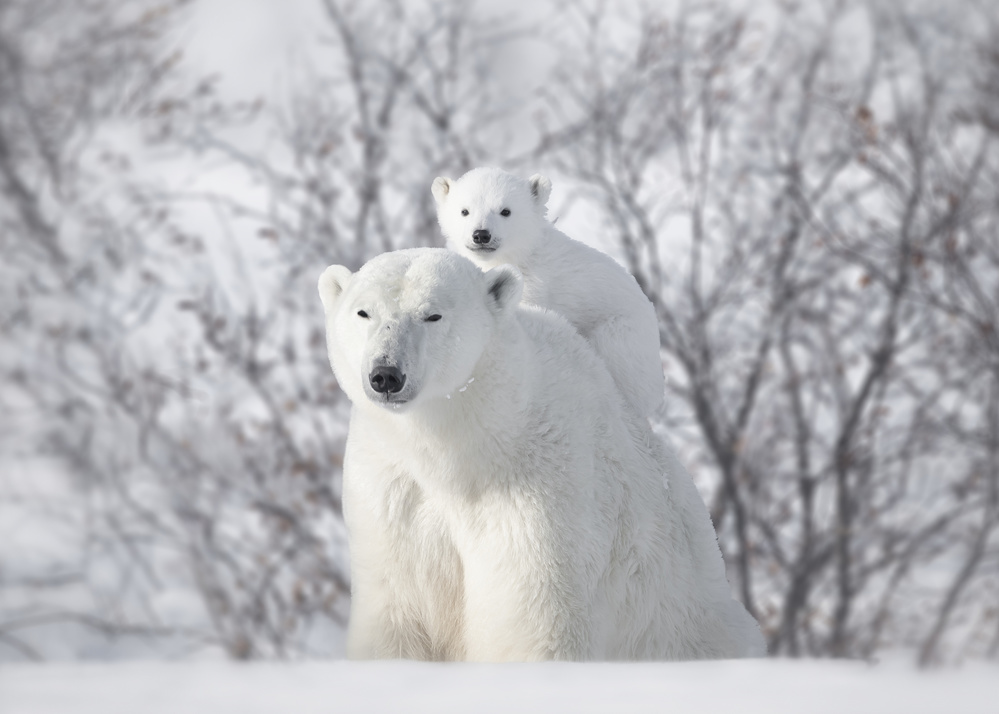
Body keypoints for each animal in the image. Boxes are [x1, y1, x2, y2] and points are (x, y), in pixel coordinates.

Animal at [320, 248, 764, 660]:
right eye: (364, 312)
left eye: (433, 315)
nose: (386, 374)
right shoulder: (393, 492)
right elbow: (398, 607)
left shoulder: (542, 488)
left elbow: (535, 617)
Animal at [430, 168, 664, 418]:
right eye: (464, 211)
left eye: (505, 211)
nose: (481, 234)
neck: (520, 258)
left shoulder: (536, 286)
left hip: (623, 336)